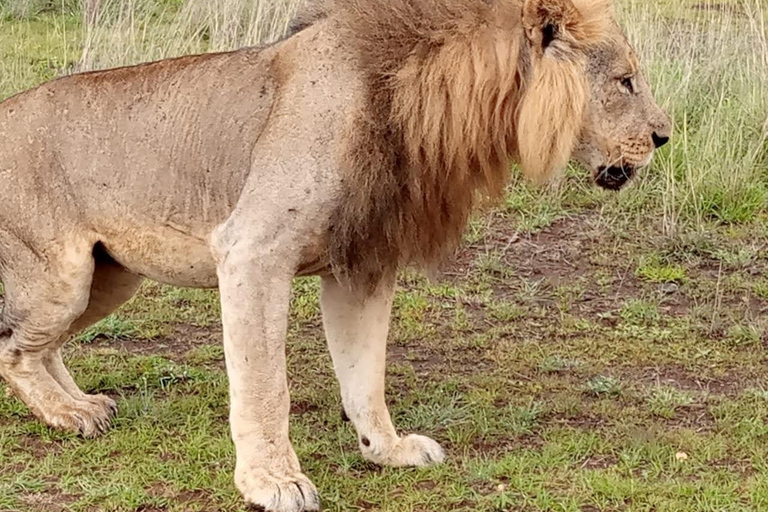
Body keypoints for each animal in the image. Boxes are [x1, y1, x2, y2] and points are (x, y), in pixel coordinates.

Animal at [0, 0, 668, 510]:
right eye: (625, 81)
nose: (664, 136)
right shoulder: (251, 250)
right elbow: (265, 385)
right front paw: (272, 481)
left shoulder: (364, 264)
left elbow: (364, 375)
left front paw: (388, 451)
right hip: (62, 275)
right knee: (14, 348)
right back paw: (68, 416)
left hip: (111, 276)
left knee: (43, 345)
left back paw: (83, 404)